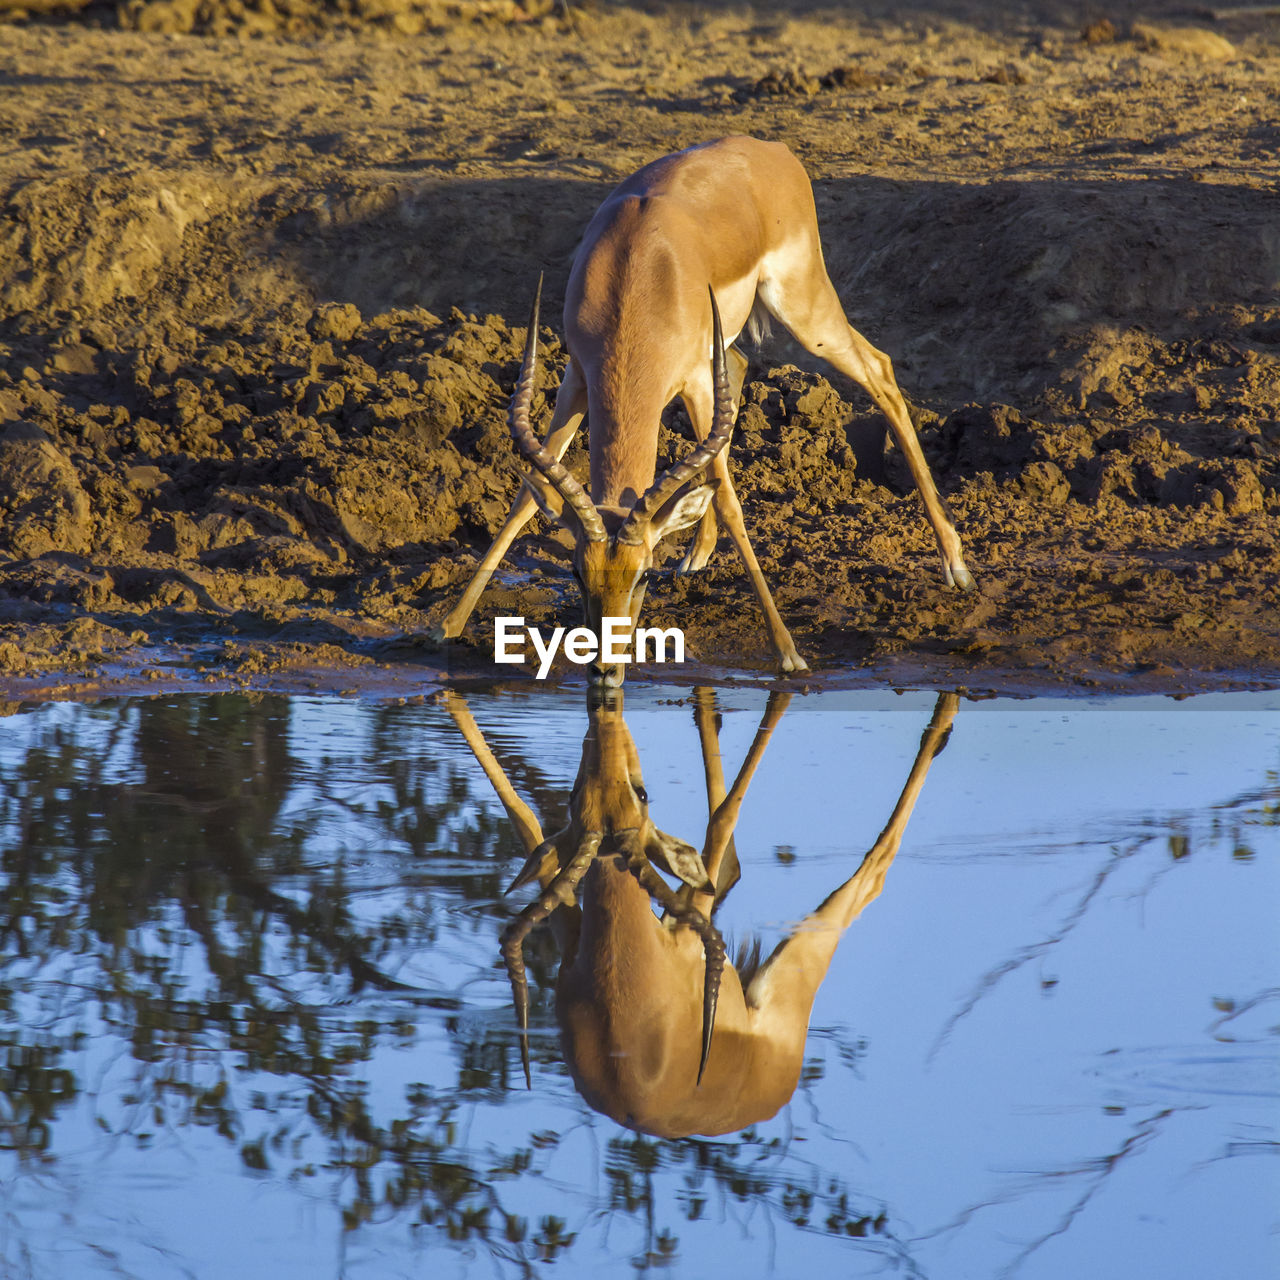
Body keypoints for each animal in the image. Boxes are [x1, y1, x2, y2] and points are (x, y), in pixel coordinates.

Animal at [435, 135, 972, 686]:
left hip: (804, 311)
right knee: (741, 368)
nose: (605, 669)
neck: (636, 275)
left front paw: (788, 652)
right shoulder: (577, 379)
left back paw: (956, 565)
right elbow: (526, 499)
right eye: (578, 573)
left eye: (644, 575)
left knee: (879, 370)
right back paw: (696, 555)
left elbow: (732, 502)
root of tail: (770, 149)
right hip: (731, 346)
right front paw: (450, 626)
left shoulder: (692, 382)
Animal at [445, 686, 957, 1136]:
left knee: (872, 870)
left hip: (798, 968)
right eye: (574, 799)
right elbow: (525, 820)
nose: (607, 719)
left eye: (643, 793)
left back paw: (941, 721)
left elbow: (723, 820)